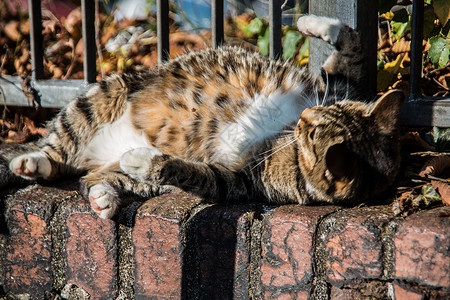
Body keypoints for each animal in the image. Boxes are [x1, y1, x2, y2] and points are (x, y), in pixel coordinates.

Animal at [0, 15, 404, 218]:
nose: (303, 115)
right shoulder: (336, 88)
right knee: (57, 151)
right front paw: (313, 23)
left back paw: (104, 198)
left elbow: (193, 173)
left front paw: (148, 159)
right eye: (315, 115)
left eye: (310, 132)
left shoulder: (240, 182)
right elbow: (352, 47)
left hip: (130, 173)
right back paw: (33, 162)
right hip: (103, 94)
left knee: (93, 179)